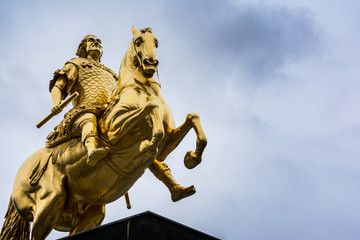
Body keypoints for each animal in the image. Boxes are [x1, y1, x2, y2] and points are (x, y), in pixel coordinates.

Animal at [0, 26, 207, 240]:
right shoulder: (114, 131)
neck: (140, 89)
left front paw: (192, 158)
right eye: (139, 41)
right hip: (50, 202)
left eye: (156, 42)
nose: (151, 63)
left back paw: (179, 190)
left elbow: (192, 118)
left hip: (90, 211)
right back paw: (96, 152)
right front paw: (148, 144)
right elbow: (151, 108)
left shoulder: (168, 141)